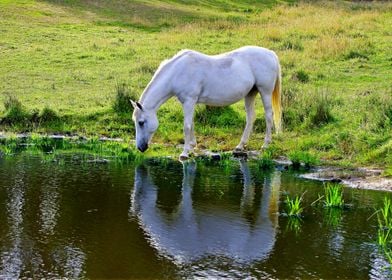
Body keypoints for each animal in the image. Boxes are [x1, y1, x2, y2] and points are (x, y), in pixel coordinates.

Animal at [132, 45, 282, 160]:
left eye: (141, 122)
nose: (140, 147)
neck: (178, 71)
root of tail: (270, 53)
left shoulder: (189, 100)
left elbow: (186, 126)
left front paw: (184, 153)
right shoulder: (188, 102)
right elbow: (191, 123)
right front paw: (192, 146)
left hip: (265, 92)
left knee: (268, 116)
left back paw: (266, 144)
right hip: (250, 93)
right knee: (250, 117)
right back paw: (240, 146)